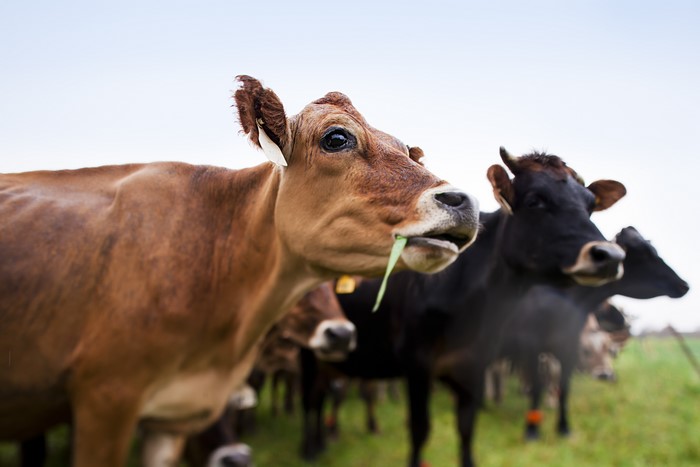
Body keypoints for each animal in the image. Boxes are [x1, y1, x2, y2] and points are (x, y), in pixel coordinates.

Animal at [300, 148, 627, 467]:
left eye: (589, 205)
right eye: (535, 200)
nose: (609, 255)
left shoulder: (474, 366)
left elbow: (467, 427)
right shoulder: (417, 364)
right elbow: (420, 429)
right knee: (310, 400)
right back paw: (311, 448)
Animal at [498, 226, 688, 440]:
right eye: (646, 253)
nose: (684, 284)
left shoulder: (569, 346)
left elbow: (564, 385)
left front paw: (564, 428)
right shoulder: (532, 345)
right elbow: (539, 384)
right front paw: (532, 430)